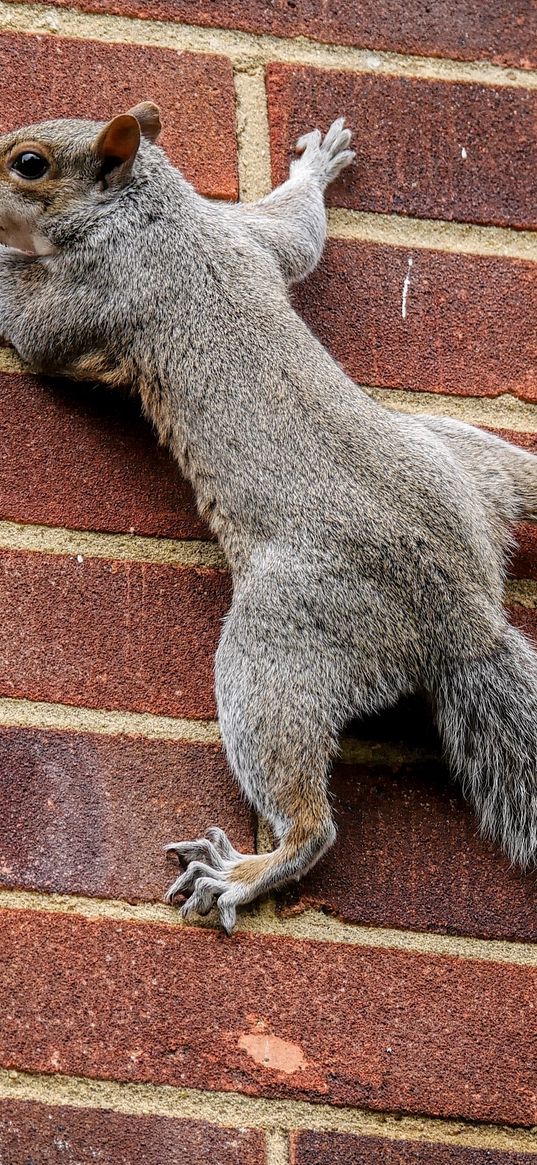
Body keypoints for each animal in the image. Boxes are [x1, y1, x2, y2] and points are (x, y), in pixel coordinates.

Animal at [1, 104, 535, 932]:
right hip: (462, 461)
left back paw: (245, 872)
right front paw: (315, 168)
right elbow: (296, 230)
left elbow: (28, 326)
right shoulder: (246, 233)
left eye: (28, 164)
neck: (158, 216)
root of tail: (463, 614)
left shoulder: (99, 291)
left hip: (281, 642)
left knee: (309, 816)